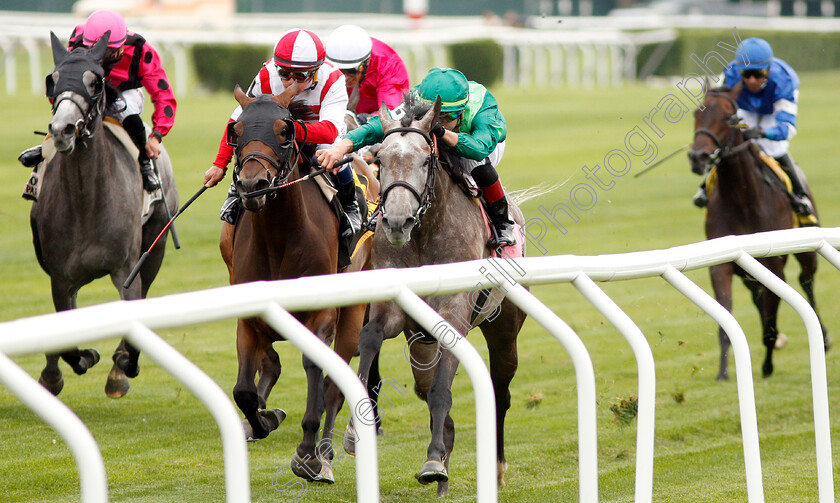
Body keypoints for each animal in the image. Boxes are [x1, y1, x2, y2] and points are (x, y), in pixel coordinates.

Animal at [30, 33, 179, 400]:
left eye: (94, 82)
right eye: (53, 79)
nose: (63, 129)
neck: (86, 202)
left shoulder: (126, 270)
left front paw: (122, 367)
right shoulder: (60, 278)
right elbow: (66, 340)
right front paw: (71, 363)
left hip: (155, 246)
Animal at [220, 86, 374, 484]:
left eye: (285, 131)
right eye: (236, 131)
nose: (252, 185)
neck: (279, 237)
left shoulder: (321, 314)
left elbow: (315, 372)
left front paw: (306, 453)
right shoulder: (249, 316)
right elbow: (243, 390)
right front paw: (264, 418)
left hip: (353, 312)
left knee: (335, 386)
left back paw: (325, 453)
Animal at [352, 94, 528, 496]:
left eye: (424, 160)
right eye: (381, 160)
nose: (396, 222)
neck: (425, 234)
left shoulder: (454, 312)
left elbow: (442, 392)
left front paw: (433, 461)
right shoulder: (393, 307)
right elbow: (369, 337)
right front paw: (355, 430)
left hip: (504, 328)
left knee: (499, 391)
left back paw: (493, 468)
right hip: (419, 340)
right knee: (425, 383)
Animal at [684, 83, 832, 382]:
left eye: (729, 117)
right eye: (696, 112)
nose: (698, 157)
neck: (743, 198)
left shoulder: (774, 265)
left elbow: (772, 319)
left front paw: (767, 365)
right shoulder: (722, 265)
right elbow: (726, 318)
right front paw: (723, 372)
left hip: (806, 250)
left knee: (806, 284)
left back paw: (822, 338)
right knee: (759, 297)